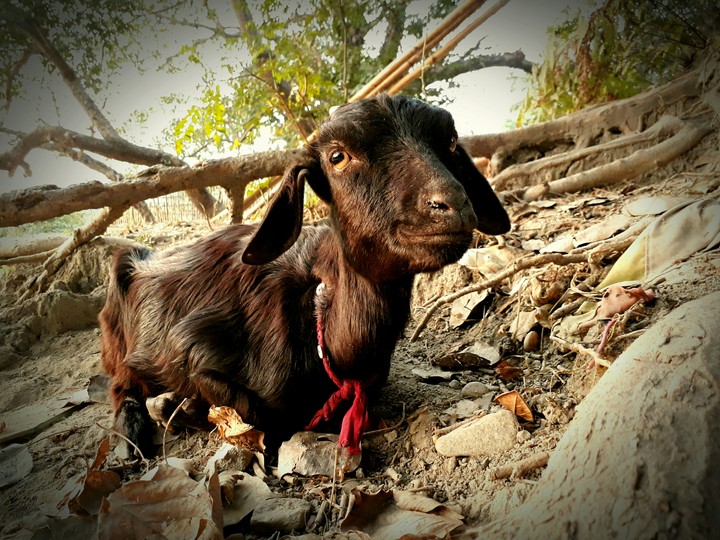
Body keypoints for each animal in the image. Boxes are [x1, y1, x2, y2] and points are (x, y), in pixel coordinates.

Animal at [99, 94, 510, 457]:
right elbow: (252, 411)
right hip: (116, 343)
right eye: (337, 157)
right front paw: (173, 406)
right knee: (121, 386)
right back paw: (133, 432)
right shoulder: (192, 346)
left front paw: (176, 405)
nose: (451, 205)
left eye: (451, 142)